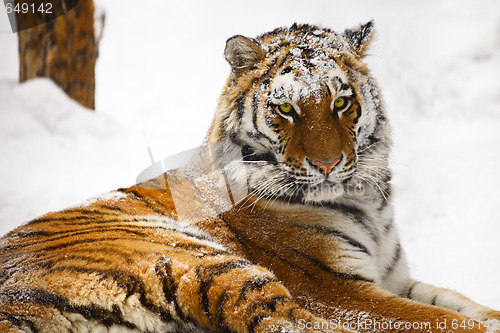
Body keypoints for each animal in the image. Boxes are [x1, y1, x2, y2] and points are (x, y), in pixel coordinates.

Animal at [0, 21, 500, 332]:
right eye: (286, 109)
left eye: (341, 103)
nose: (327, 165)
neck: (369, 204)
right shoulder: (337, 290)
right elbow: (444, 321)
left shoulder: (394, 278)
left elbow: (467, 304)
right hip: (203, 260)